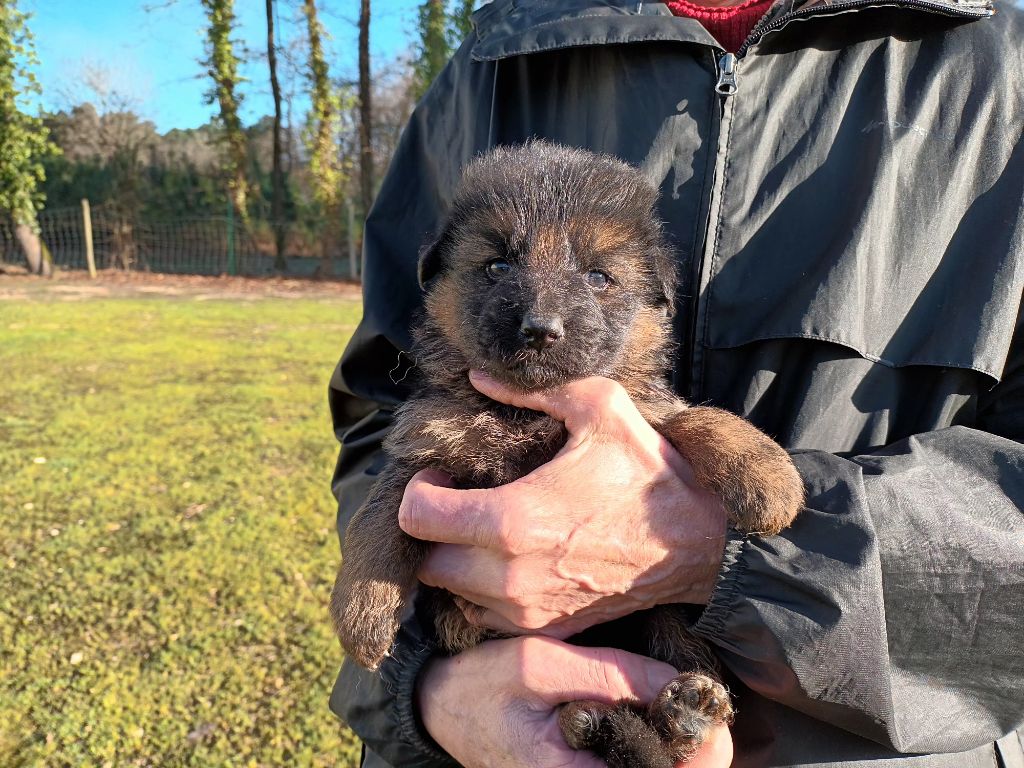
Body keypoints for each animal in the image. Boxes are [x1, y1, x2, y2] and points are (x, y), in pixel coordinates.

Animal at [331, 141, 802, 765]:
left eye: (599, 276)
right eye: (498, 265)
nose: (540, 329)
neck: (530, 414)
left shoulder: (642, 409)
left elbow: (690, 415)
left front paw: (765, 470)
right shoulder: (428, 443)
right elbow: (381, 514)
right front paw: (361, 607)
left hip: (665, 622)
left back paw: (680, 714)